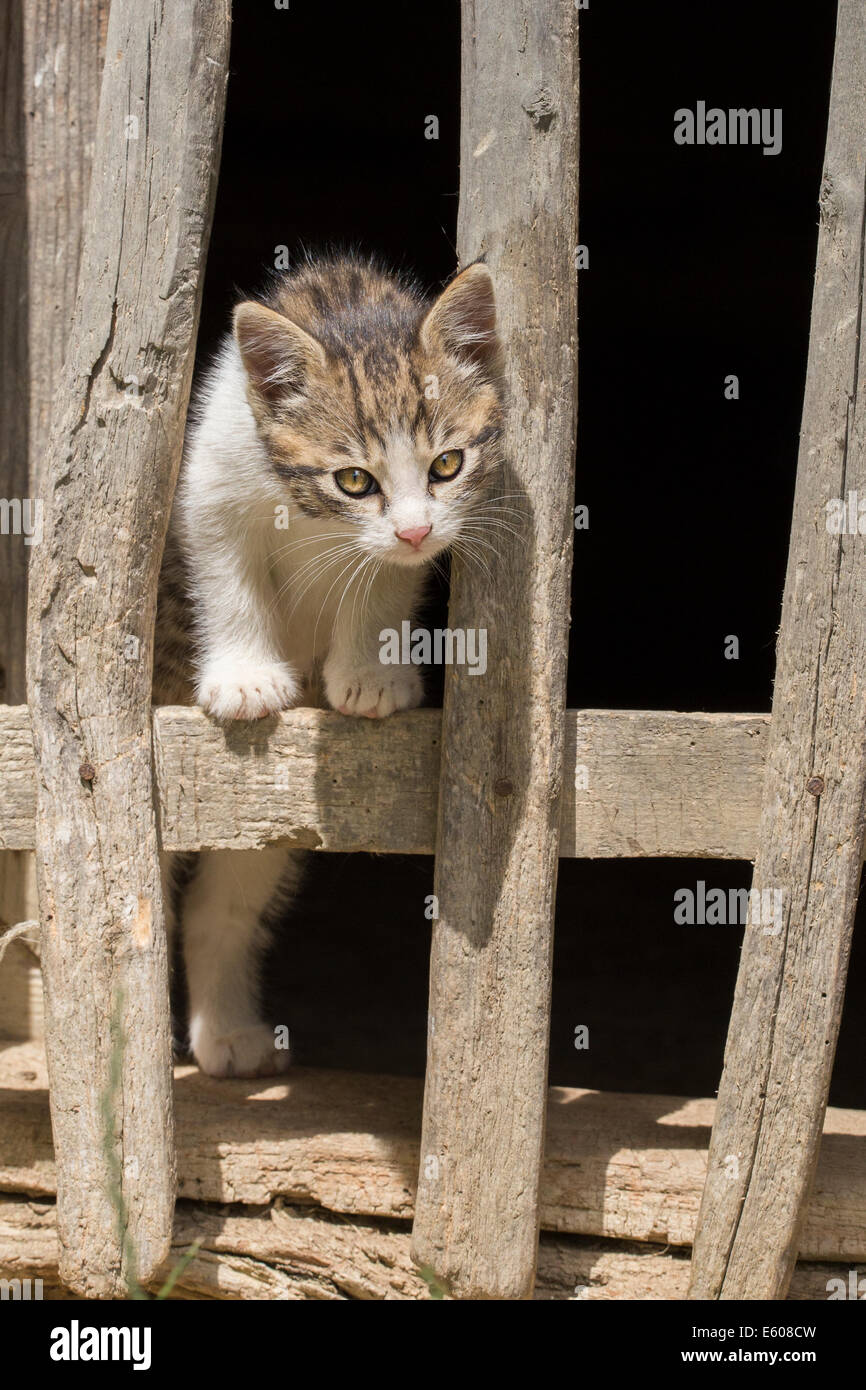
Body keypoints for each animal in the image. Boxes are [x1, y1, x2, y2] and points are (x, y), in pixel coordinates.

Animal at [154, 252, 505, 1073]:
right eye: (354, 479)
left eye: (448, 464)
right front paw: (246, 675)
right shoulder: (212, 482)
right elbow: (226, 571)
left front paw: (371, 676)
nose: (412, 529)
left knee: (219, 902)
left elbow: (384, 580)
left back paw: (226, 1035)